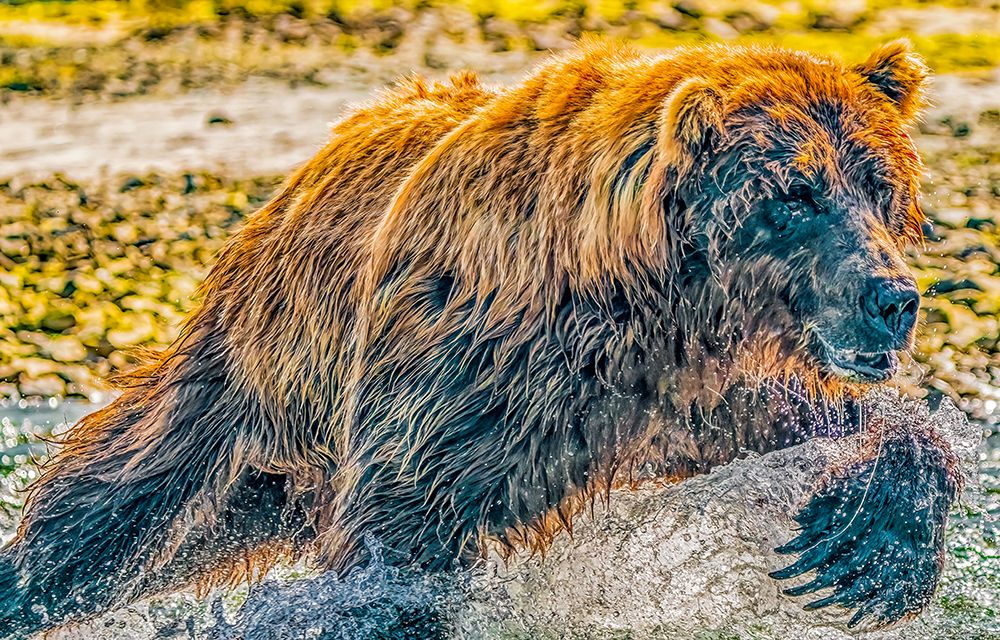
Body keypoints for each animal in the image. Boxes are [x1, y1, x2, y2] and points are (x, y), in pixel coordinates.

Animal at [0, 39, 962, 637]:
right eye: (796, 194)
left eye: (880, 185)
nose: (891, 299)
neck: (652, 304)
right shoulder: (476, 383)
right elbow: (404, 542)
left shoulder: (695, 393)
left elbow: (833, 416)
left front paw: (863, 551)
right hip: (254, 380)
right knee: (117, 506)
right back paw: (30, 584)